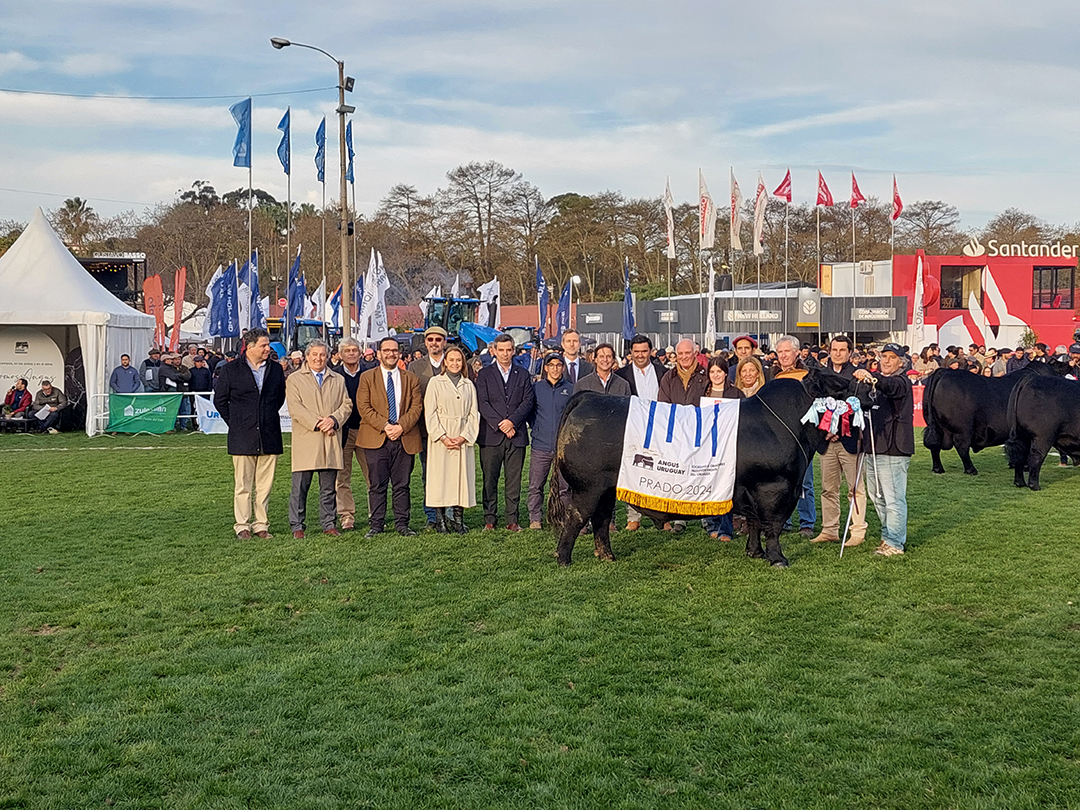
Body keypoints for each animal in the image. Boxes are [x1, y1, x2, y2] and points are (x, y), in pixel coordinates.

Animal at [552, 369, 864, 565]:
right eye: (838, 384)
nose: (864, 385)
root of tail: (589, 397)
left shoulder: (754, 489)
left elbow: (755, 523)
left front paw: (756, 553)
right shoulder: (775, 488)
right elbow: (772, 527)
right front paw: (778, 559)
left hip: (606, 490)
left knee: (601, 520)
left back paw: (607, 555)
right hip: (588, 488)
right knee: (576, 518)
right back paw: (564, 559)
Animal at [920, 360, 1071, 475]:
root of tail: (944, 372)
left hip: (935, 425)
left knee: (934, 444)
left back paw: (938, 468)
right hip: (963, 429)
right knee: (961, 446)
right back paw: (971, 469)